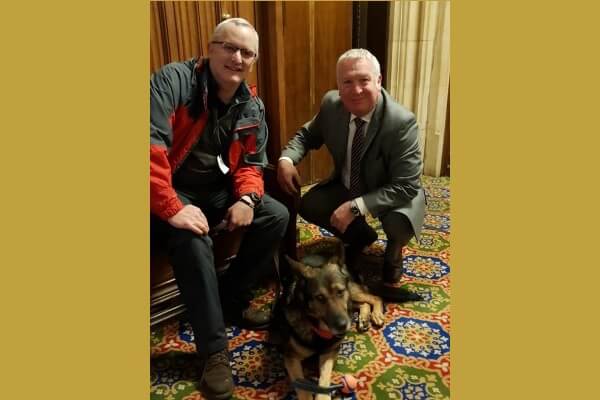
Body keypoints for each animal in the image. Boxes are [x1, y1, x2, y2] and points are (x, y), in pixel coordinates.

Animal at [276, 242, 384, 398]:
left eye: (340, 292)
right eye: (320, 297)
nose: (342, 326)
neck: (315, 326)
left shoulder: (329, 353)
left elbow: (324, 378)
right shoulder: (291, 358)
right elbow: (302, 388)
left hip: (352, 292)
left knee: (374, 297)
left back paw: (376, 314)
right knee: (362, 303)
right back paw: (364, 318)